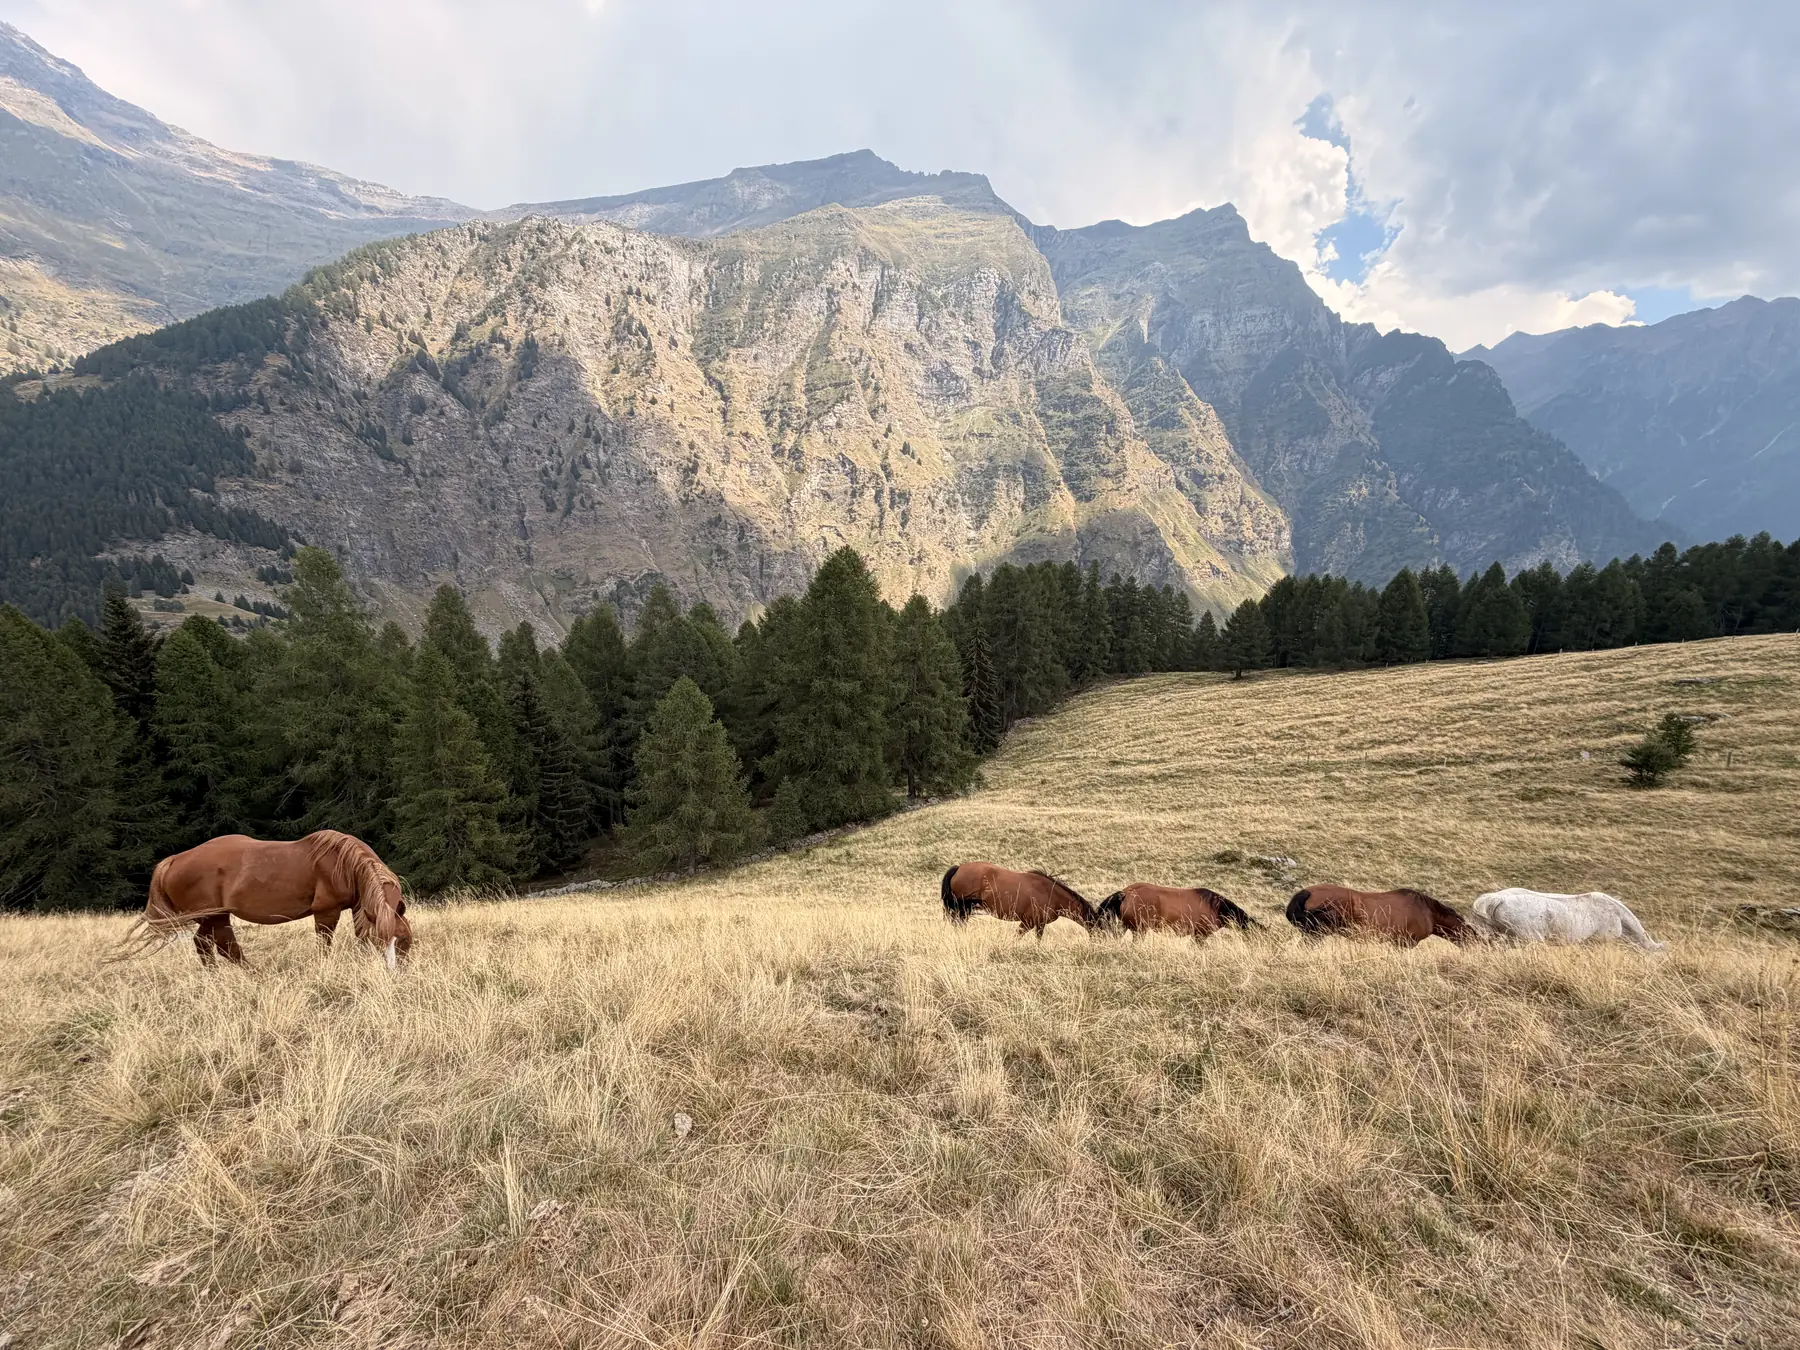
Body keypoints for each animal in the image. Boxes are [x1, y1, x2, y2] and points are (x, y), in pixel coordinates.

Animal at [129, 830, 412, 968]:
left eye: (404, 940)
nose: (391, 973)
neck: (343, 864)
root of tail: (174, 860)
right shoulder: (327, 912)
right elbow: (324, 945)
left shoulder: (359, 909)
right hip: (214, 916)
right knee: (222, 946)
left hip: (214, 917)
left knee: (210, 945)